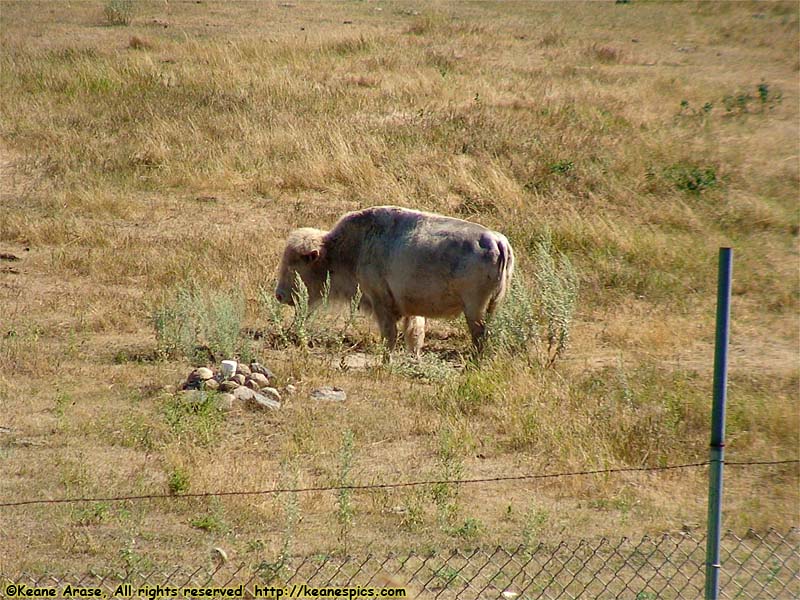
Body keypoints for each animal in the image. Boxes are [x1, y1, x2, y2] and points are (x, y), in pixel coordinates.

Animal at [274, 207, 512, 354]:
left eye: (295, 263)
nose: (279, 294)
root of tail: (498, 242)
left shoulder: (381, 302)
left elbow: (390, 336)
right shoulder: (410, 309)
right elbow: (414, 335)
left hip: (474, 309)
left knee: (479, 337)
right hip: (491, 306)